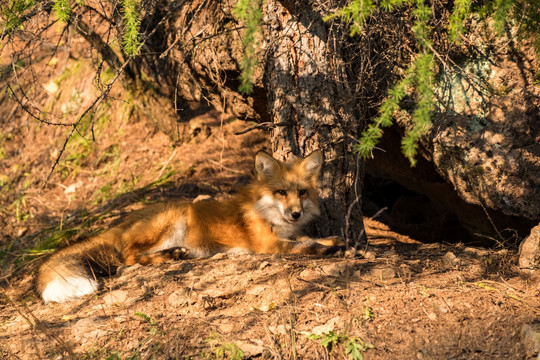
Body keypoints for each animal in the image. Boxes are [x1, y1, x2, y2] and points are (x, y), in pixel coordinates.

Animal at [37, 150, 342, 302]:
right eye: (281, 192)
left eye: (301, 192)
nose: (295, 214)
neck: (266, 211)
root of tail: (121, 222)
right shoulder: (267, 243)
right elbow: (304, 246)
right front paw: (327, 249)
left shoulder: (285, 234)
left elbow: (311, 238)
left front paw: (333, 240)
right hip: (174, 219)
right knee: (128, 259)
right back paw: (169, 256)